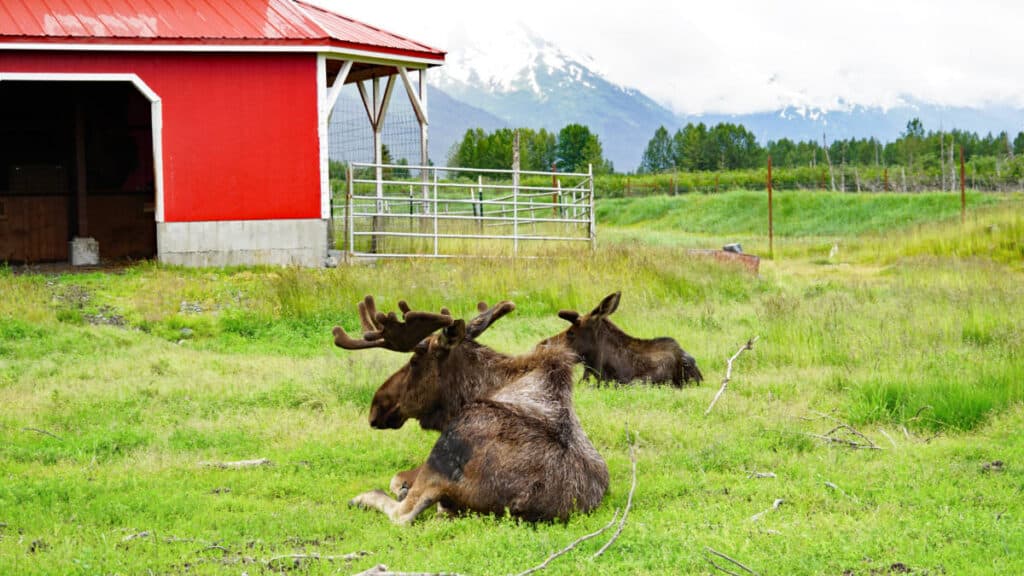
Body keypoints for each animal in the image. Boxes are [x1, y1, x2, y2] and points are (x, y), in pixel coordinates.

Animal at [333, 296, 609, 524]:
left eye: (414, 360)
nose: (377, 407)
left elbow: (397, 479)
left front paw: (398, 488)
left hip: (447, 450)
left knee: (403, 514)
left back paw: (364, 498)